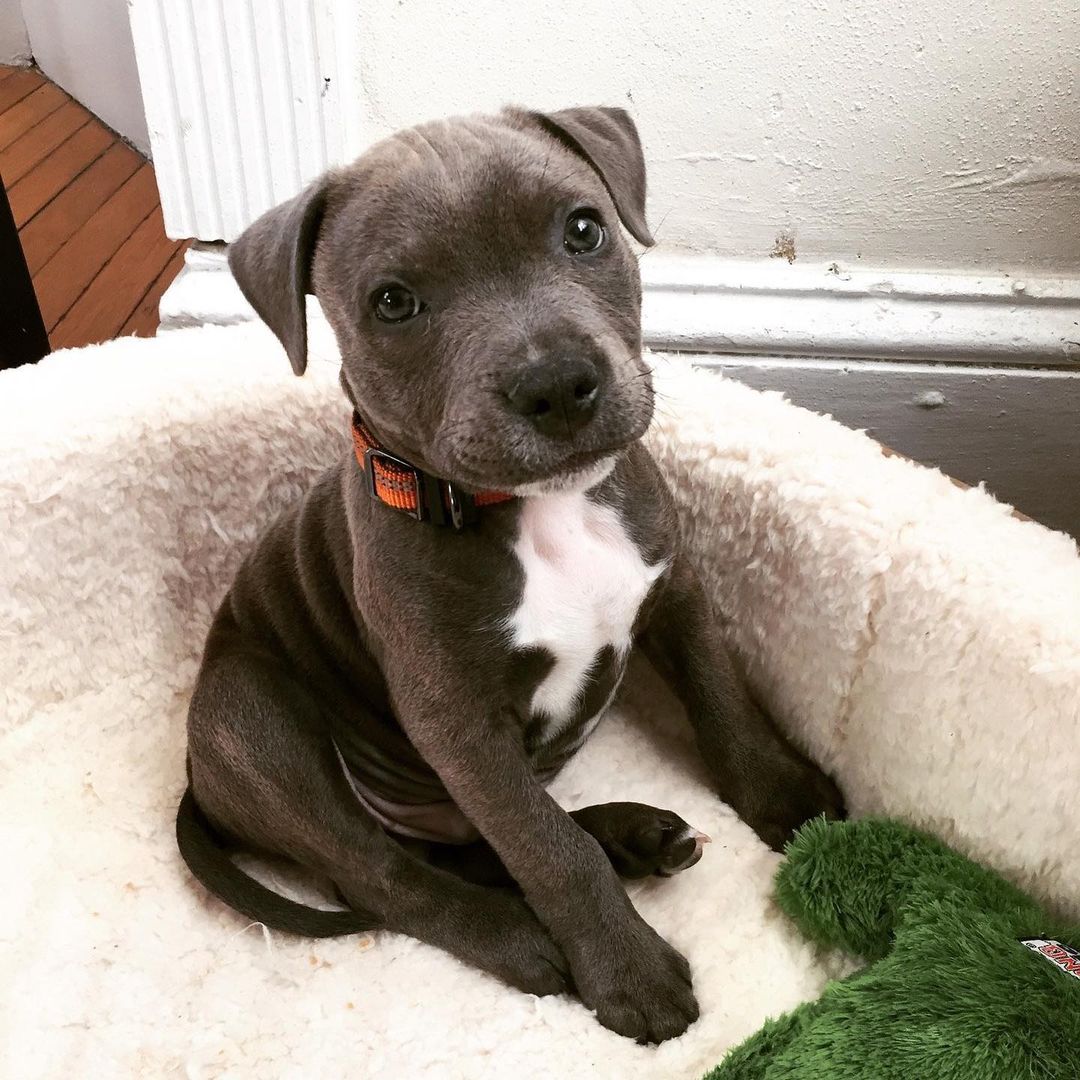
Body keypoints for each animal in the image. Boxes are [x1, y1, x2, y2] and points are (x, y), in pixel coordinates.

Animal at [179, 105, 842, 1041]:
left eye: (584, 230)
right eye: (393, 302)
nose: (558, 383)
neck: (540, 511)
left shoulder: (676, 590)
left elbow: (721, 701)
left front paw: (783, 797)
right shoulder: (461, 724)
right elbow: (547, 849)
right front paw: (628, 971)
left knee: (467, 848)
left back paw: (633, 836)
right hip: (256, 722)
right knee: (386, 874)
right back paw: (522, 938)